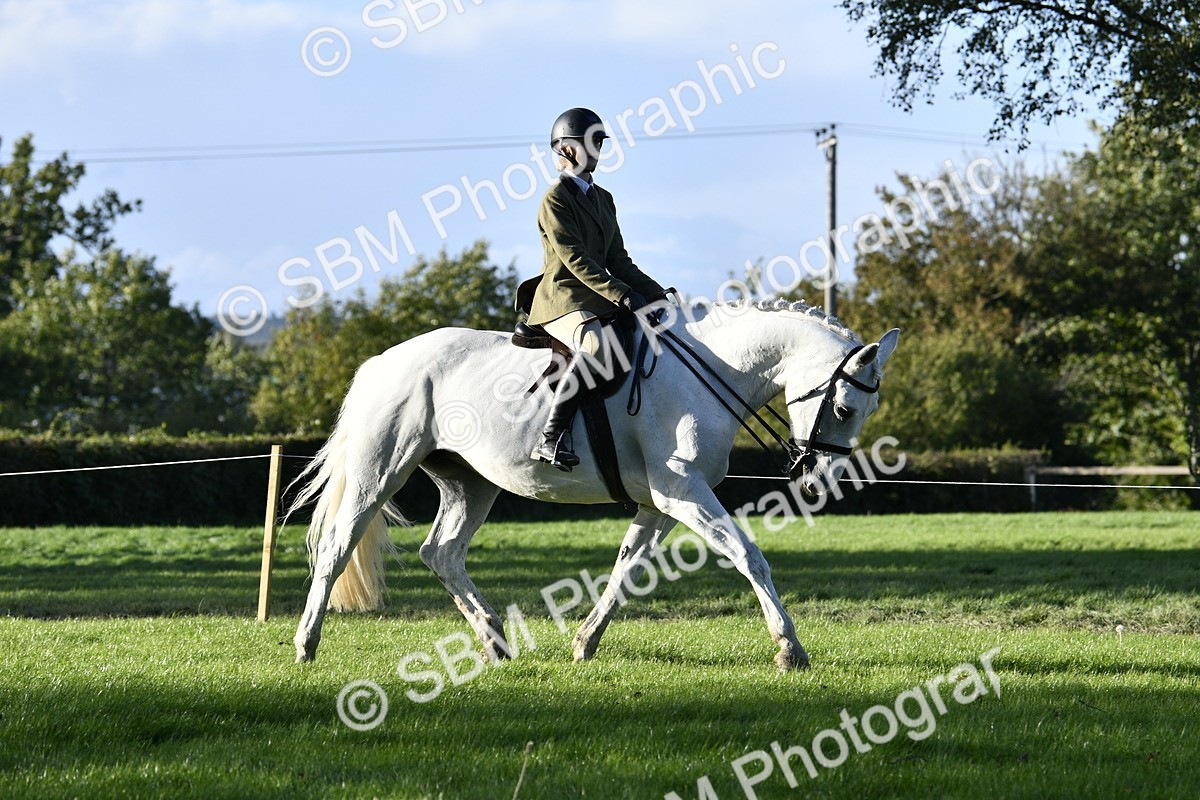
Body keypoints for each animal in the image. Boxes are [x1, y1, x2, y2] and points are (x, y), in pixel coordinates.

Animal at [290, 298, 899, 671]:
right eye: (844, 408)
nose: (821, 481)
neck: (707, 375)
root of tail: (382, 361)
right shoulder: (684, 493)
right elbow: (750, 556)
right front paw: (790, 649)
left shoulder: (660, 504)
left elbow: (627, 569)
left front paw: (585, 643)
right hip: (380, 471)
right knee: (338, 547)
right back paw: (305, 644)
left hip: (471, 484)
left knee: (441, 553)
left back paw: (495, 641)